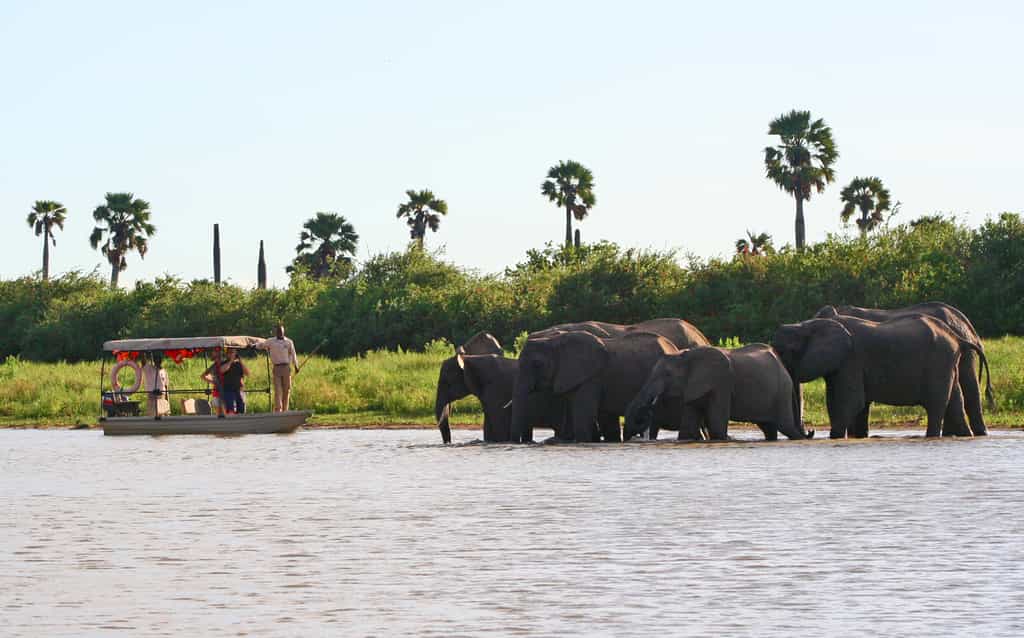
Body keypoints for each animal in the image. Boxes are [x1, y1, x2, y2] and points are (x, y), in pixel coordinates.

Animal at [509, 331, 681, 443]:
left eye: (537, 364)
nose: (519, 443)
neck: (554, 341)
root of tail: (674, 347)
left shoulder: (591, 378)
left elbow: (583, 413)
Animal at [623, 345, 809, 441]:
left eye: (667, 375)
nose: (647, 411)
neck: (686, 355)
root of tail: (782, 365)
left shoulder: (722, 383)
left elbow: (717, 428)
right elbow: (687, 430)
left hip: (782, 391)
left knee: (785, 426)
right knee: (769, 428)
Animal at [772, 316, 990, 438]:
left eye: (786, 352)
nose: (810, 432)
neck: (809, 324)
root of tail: (957, 338)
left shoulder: (851, 359)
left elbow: (850, 402)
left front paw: (835, 437)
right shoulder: (840, 365)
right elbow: (836, 402)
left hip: (938, 362)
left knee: (936, 405)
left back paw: (932, 436)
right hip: (947, 363)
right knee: (955, 402)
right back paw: (966, 436)